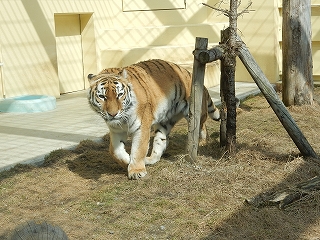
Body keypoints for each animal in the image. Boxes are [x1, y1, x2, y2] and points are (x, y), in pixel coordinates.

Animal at [87, 59, 220, 180]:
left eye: (119, 95)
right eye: (102, 96)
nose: (113, 114)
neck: (122, 121)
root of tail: (190, 74)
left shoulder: (141, 127)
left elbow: (138, 150)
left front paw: (136, 171)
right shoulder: (116, 131)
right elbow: (114, 151)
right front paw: (127, 161)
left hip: (194, 113)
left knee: (202, 127)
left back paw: (202, 142)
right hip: (164, 122)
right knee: (161, 142)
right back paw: (149, 159)